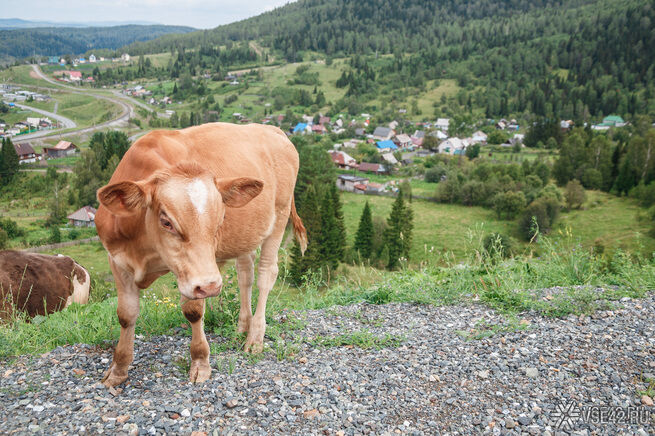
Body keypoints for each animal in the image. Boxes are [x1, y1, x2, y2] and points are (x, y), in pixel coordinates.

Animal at [95, 121, 308, 386]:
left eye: (221, 219)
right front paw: (117, 370)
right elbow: (125, 315)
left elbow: (193, 311)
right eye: (166, 222)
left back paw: (255, 337)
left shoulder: (197, 274)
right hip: (246, 236)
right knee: (245, 275)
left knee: (266, 275)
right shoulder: (117, 260)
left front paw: (200, 363)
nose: (211, 286)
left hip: (279, 216)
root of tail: (272, 129)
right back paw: (243, 325)